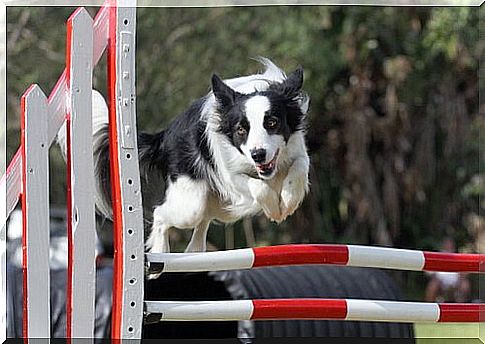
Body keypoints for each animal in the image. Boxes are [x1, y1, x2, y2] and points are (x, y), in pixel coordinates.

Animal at [56, 57, 310, 253]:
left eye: (272, 122)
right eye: (241, 129)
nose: (258, 154)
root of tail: (164, 136)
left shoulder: (295, 150)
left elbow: (299, 166)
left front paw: (288, 201)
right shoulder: (230, 173)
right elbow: (257, 185)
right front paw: (275, 209)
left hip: (216, 205)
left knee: (202, 224)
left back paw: (195, 252)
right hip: (191, 202)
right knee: (163, 214)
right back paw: (160, 252)